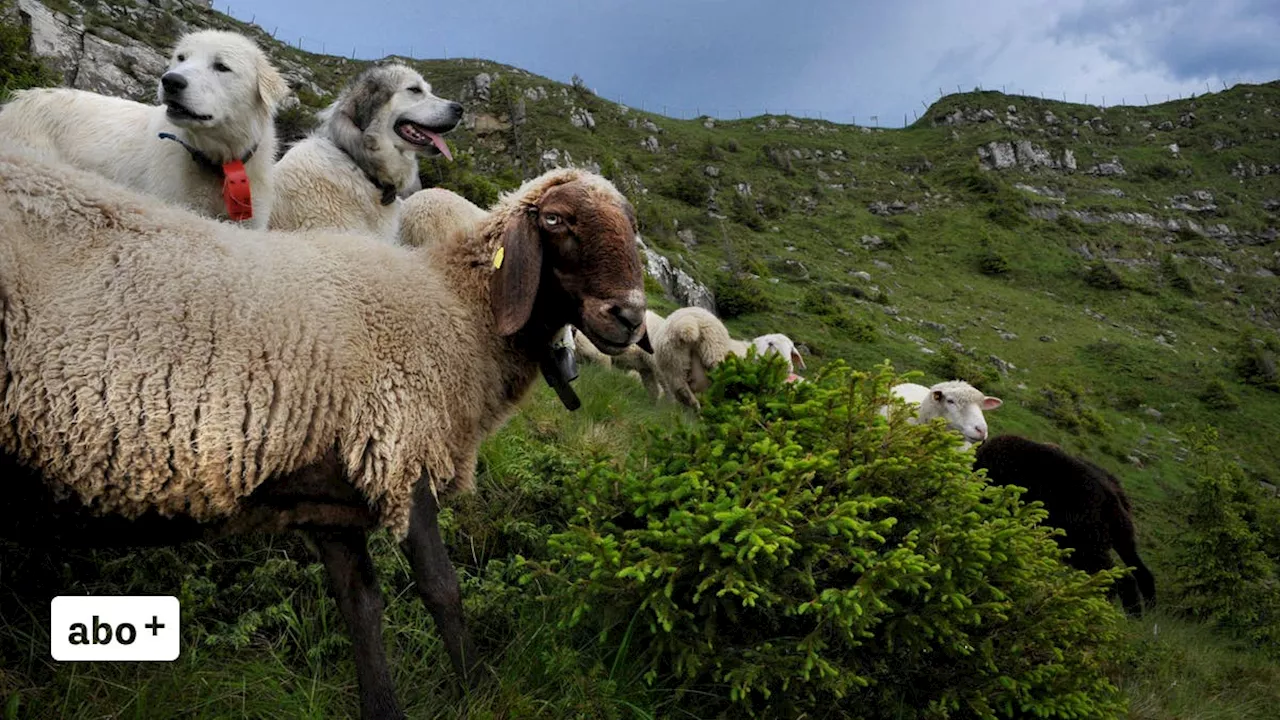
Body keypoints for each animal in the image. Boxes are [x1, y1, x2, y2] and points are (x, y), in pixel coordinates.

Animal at [0, 140, 650, 717]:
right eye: (556, 220)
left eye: (631, 227)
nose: (629, 316)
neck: (454, 310)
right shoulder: (401, 447)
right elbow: (442, 589)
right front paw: (477, 690)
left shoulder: (332, 492)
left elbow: (360, 606)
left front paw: (385, 709)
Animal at [967, 427, 1162, 614]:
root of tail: (1112, 494)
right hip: (1118, 529)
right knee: (1135, 564)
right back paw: (1145, 609)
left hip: (1084, 534)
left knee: (1114, 575)